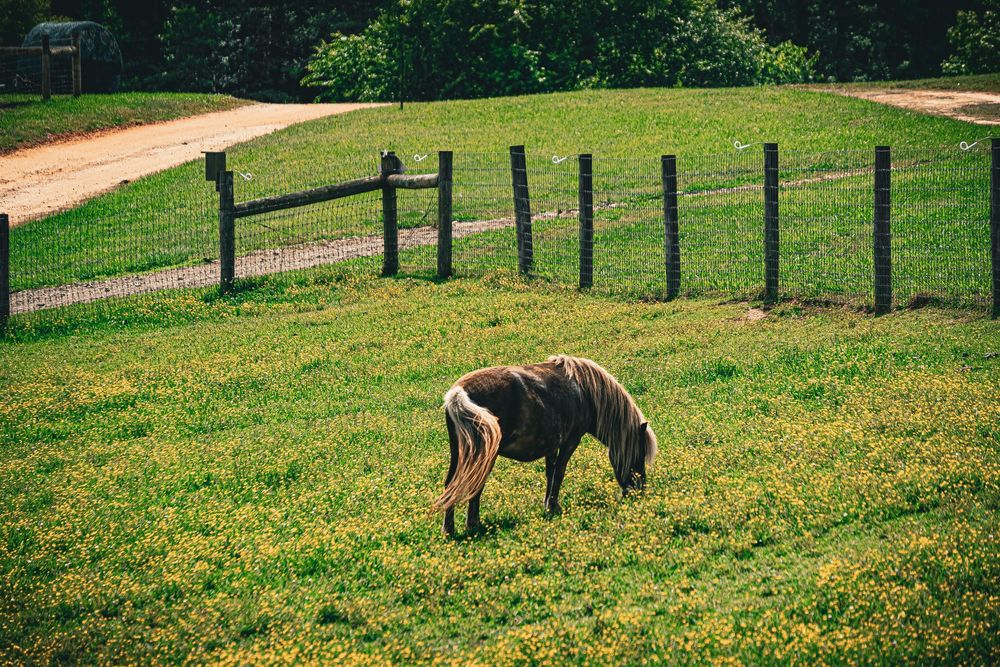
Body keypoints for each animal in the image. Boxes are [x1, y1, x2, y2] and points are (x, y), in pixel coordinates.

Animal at [433, 354, 657, 535]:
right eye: (639, 455)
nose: (638, 491)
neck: (584, 391)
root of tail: (458, 394)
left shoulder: (552, 446)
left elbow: (550, 474)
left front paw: (547, 504)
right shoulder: (570, 441)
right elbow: (559, 473)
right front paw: (554, 507)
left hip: (460, 453)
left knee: (452, 484)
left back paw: (449, 529)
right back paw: (473, 525)